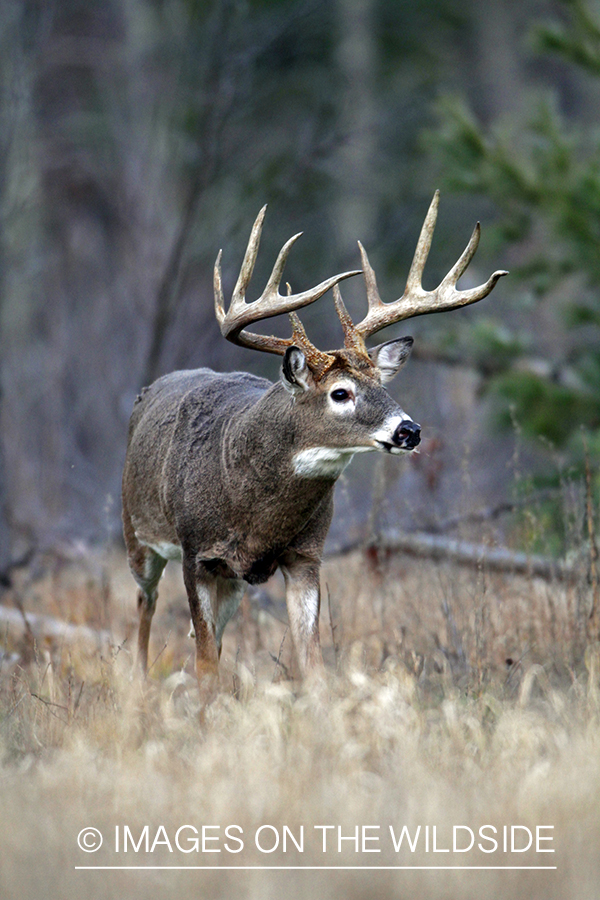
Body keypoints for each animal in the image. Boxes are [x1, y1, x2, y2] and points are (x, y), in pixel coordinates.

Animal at [122, 192, 506, 704]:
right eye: (340, 393)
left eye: (381, 384)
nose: (410, 431)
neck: (252, 511)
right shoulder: (195, 553)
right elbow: (203, 666)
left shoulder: (306, 556)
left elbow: (312, 666)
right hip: (137, 535)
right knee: (145, 607)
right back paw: (138, 686)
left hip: (232, 580)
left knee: (214, 637)